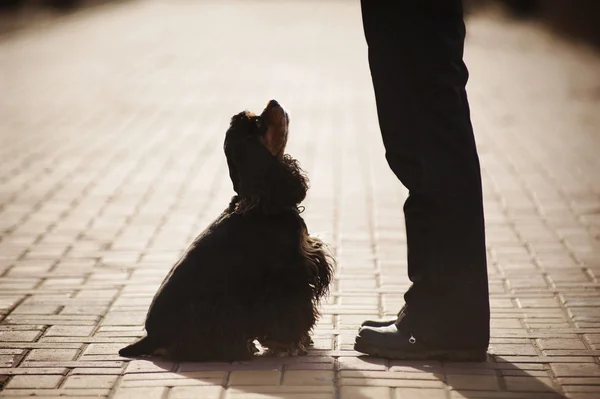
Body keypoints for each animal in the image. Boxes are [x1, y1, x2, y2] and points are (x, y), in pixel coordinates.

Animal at [117, 100, 332, 362]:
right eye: (257, 122)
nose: (273, 101)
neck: (262, 201)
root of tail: (151, 337)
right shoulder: (287, 274)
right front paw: (289, 345)